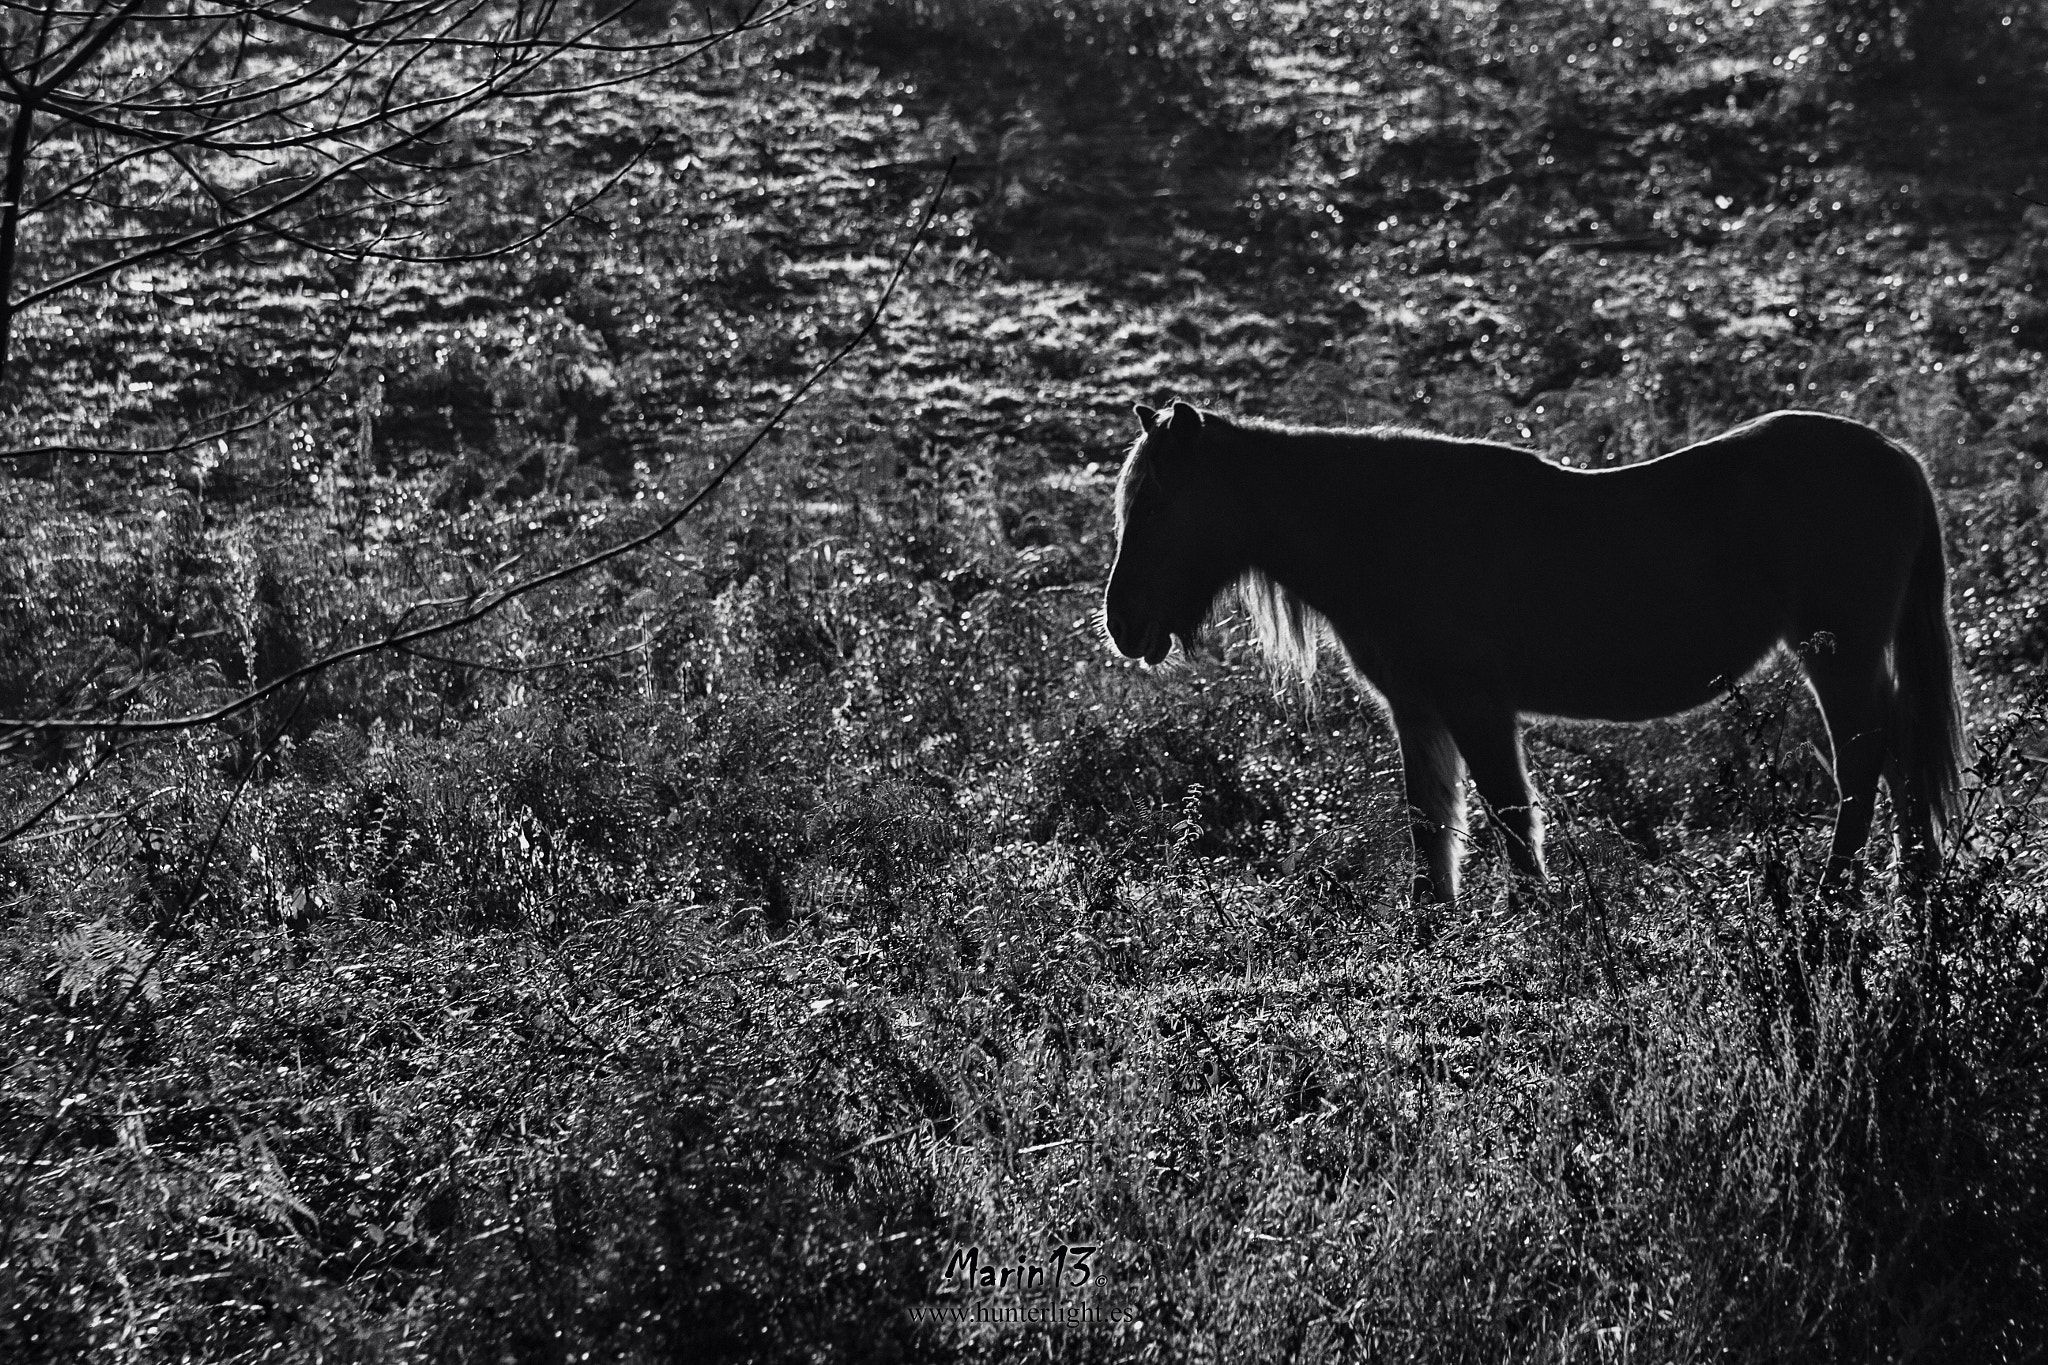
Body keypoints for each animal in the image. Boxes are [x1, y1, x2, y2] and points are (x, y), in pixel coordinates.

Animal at [1105, 403, 1966, 916]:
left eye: (1157, 502)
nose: (1121, 623)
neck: (1388, 527)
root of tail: (1897, 455)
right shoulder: (1419, 711)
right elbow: (1431, 819)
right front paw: (1430, 924)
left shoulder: (1476, 705)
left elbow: (1509, 815)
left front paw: (1529, 915)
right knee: (1899, 756)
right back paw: (1914, 882)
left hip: (1841, 657)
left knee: (1865, 761)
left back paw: (1836, 892)